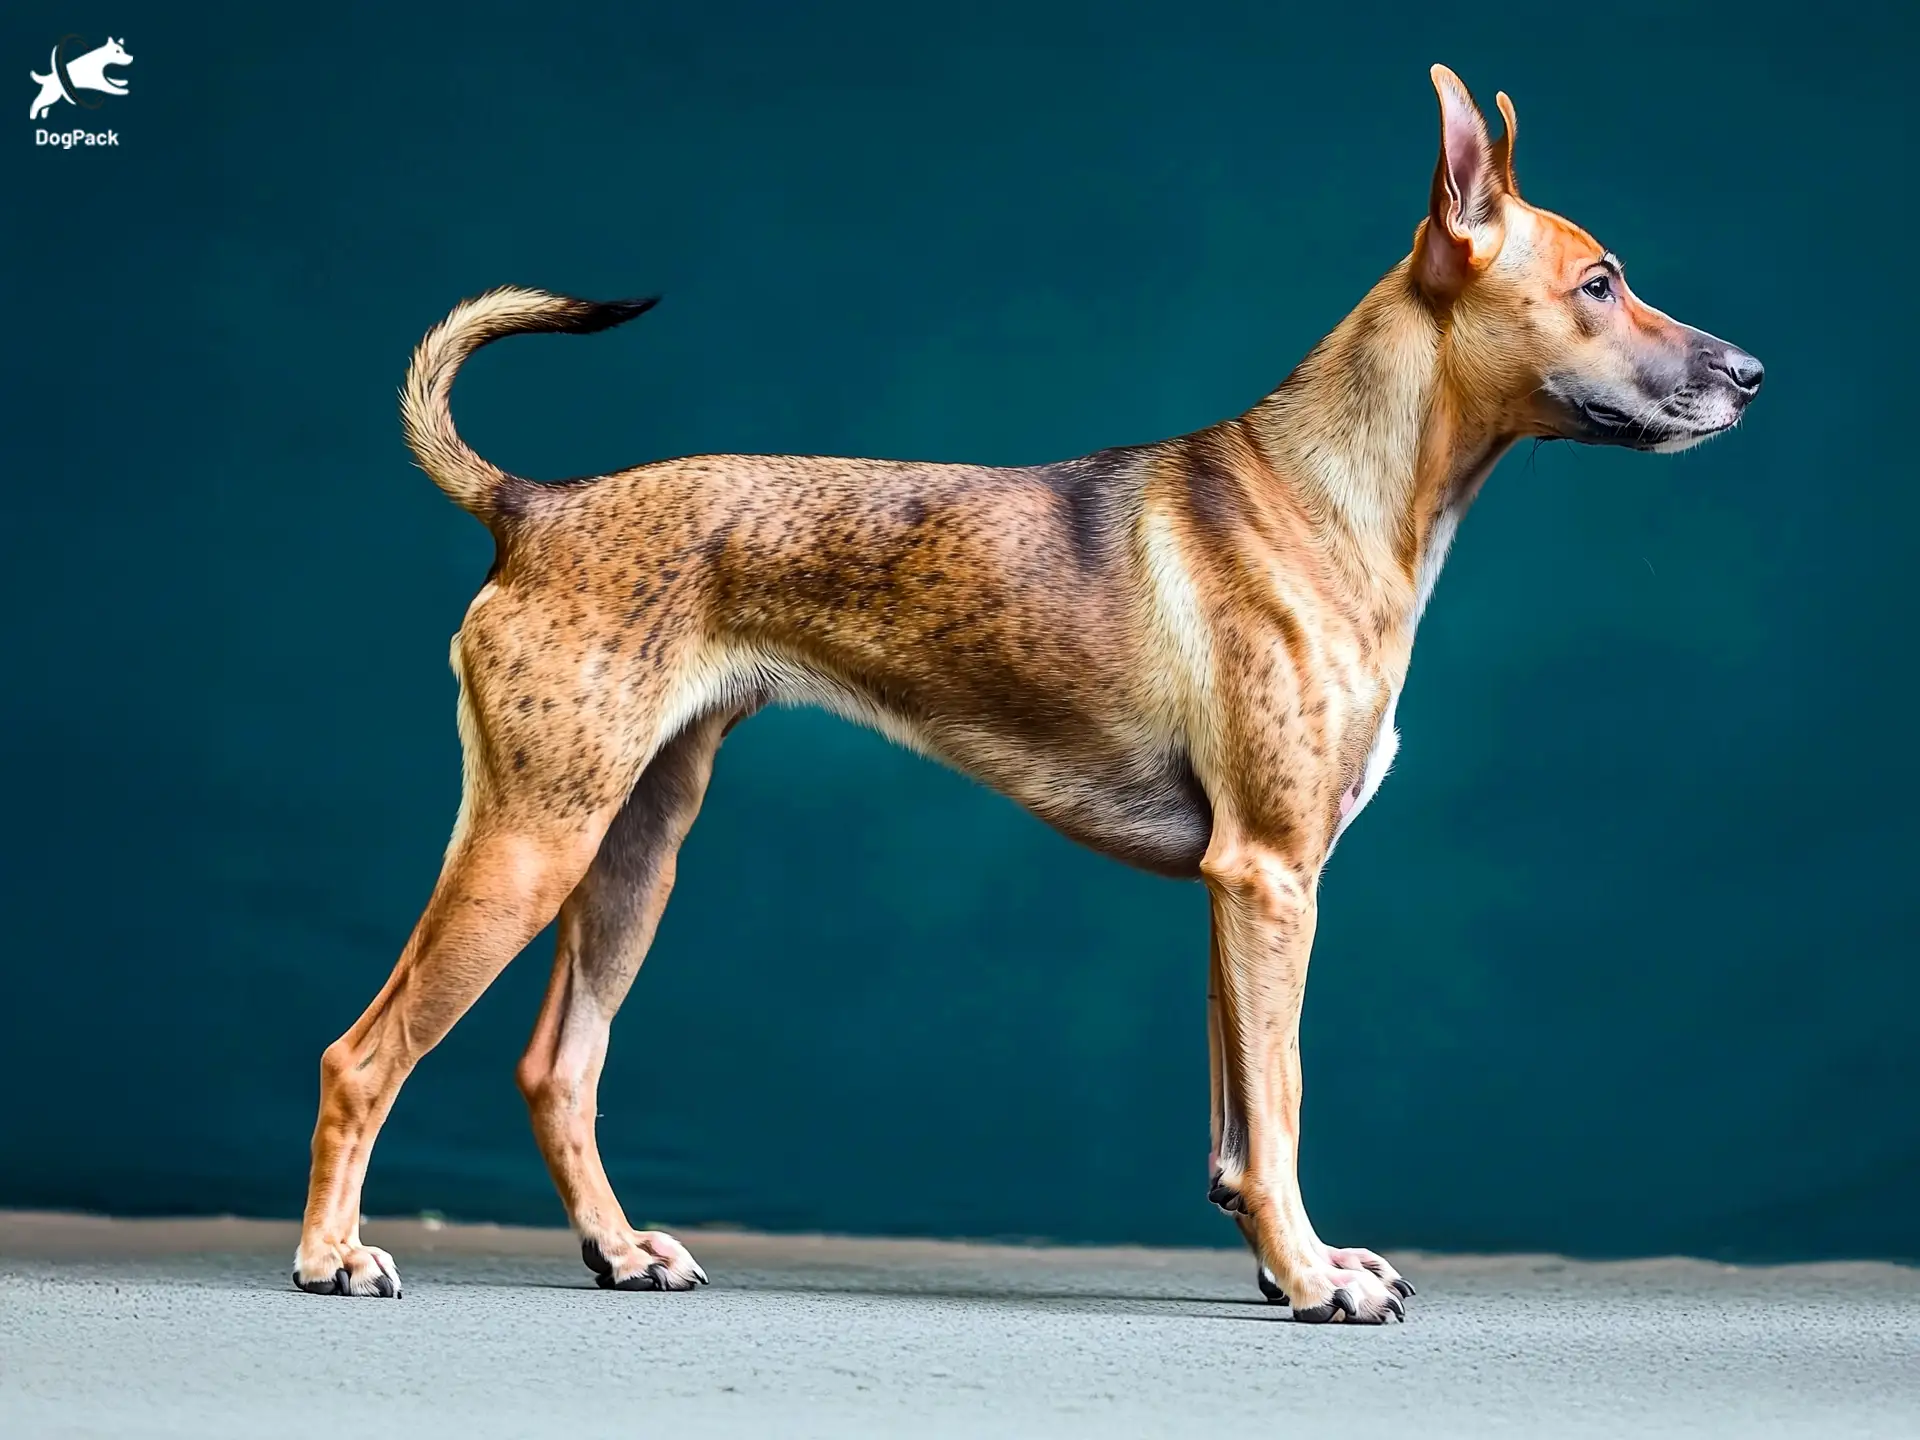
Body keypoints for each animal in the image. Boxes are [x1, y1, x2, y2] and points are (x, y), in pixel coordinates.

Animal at [295, 73, 1766, 1328]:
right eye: (1599, 283)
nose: (1752, 375)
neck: (1329, 490)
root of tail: (530, 508)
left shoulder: (1240, 892)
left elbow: (1242, 1122)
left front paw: (1284, 1267)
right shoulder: (1273, 877)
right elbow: (1284, 1104)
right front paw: (1316, 1278)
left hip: (634, 845)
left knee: (561, 1068)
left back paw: (619, 1249)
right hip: (531, 840)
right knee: (363, 1056)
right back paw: (333, 1256)